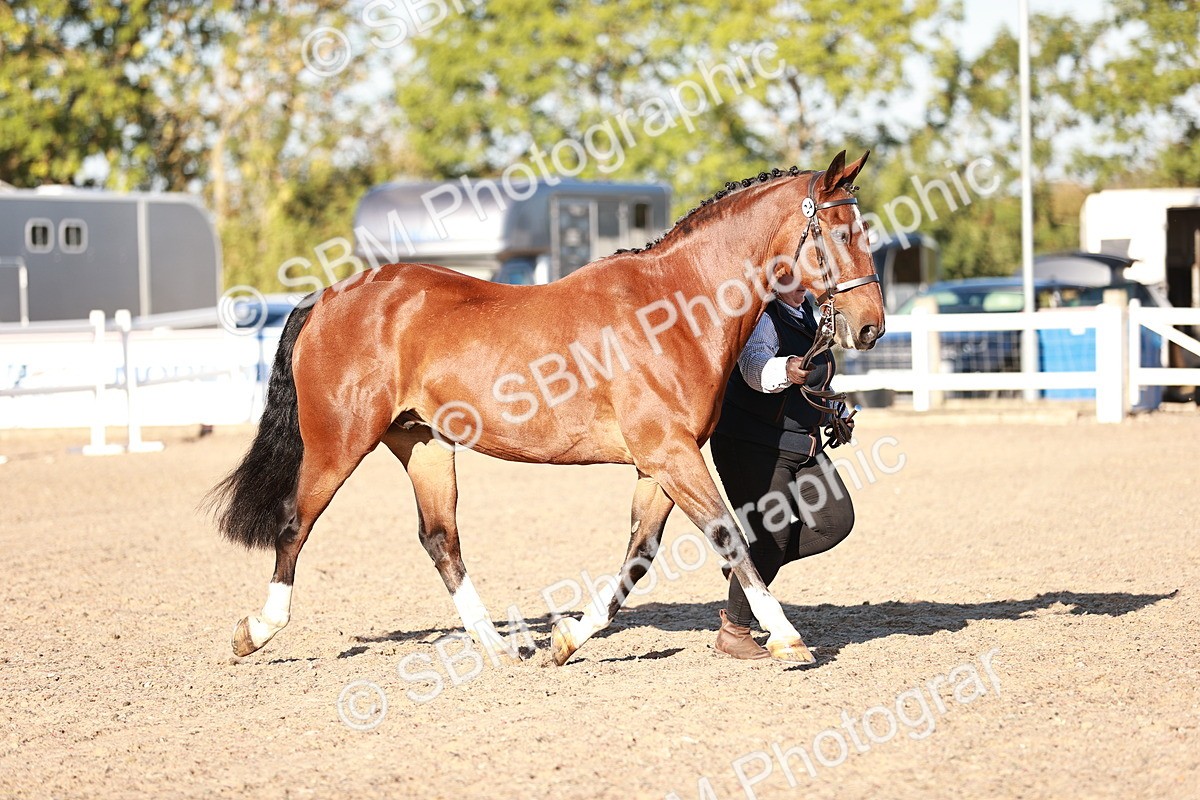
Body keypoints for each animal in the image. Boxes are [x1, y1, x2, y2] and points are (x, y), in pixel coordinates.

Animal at [207, 150, 885, 666]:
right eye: (839, 234)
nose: (870, 327)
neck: (675, 306)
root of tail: (324, 298)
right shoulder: (670, 454)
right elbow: (729, 536)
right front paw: (790, 640)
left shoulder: (660, 463)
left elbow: (639, 556)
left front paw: (565, 639)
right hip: (339, 441)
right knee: (294, 524)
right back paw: (255, 632)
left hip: (421, 442)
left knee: (440, 538)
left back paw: (500, 647)